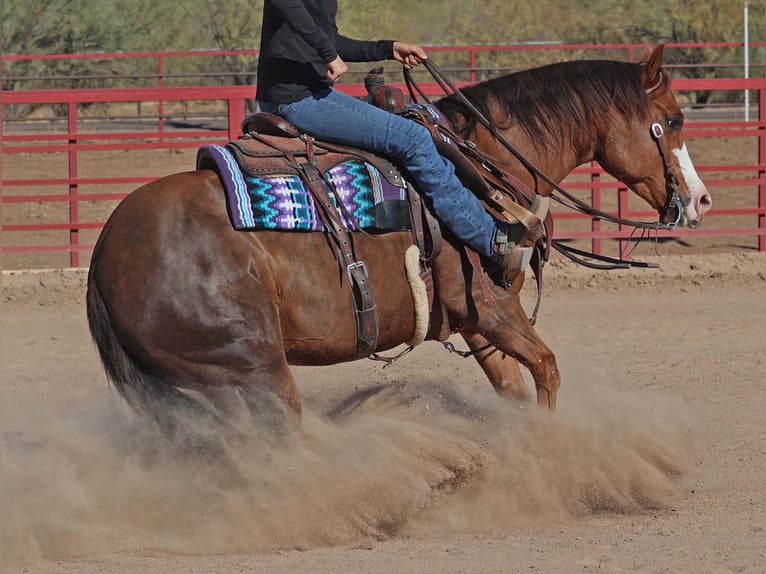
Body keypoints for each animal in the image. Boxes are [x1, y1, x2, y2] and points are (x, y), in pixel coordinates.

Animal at [85, 46, 712, 436]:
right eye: (675, 119)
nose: (702, 200)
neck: (480, 164)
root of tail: (104, 256)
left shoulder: (476, 321)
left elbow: (516, 389)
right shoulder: (497, 310)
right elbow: (549, 370)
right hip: (249, 370)